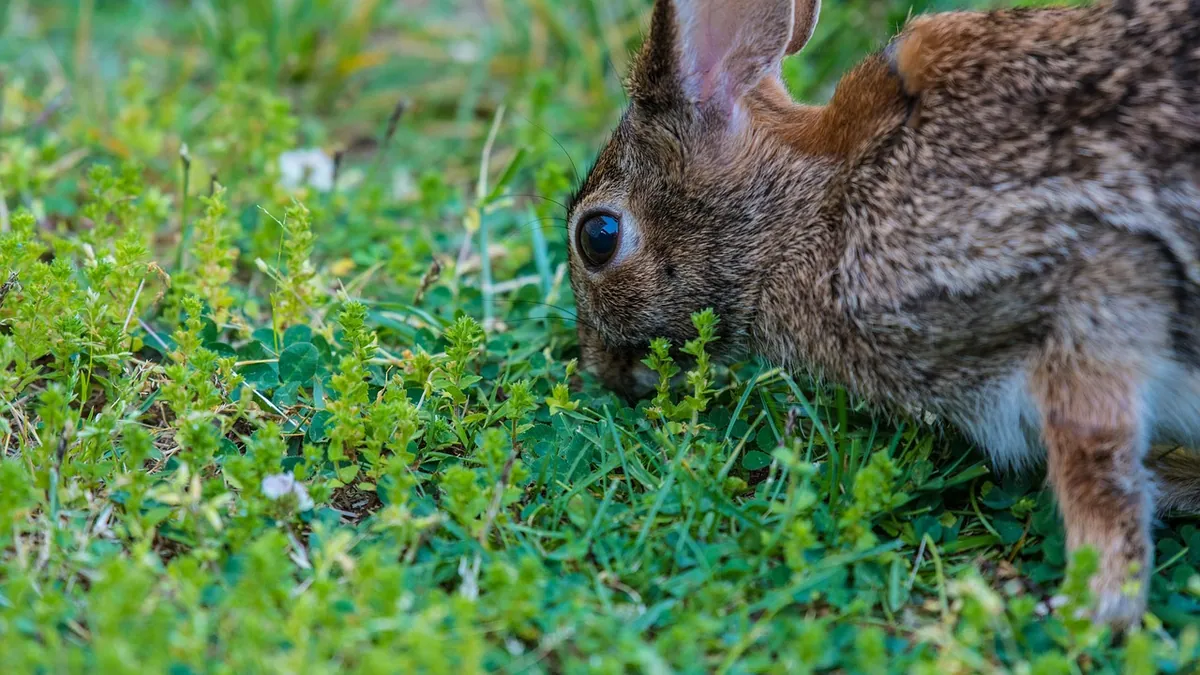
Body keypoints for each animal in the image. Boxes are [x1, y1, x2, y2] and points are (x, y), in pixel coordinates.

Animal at [565, 0, 1200, 628]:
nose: (600, 369)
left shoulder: (1093, 284)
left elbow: (1094, 463)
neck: (814, 202)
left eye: (598, 236)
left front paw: (1090, 607)